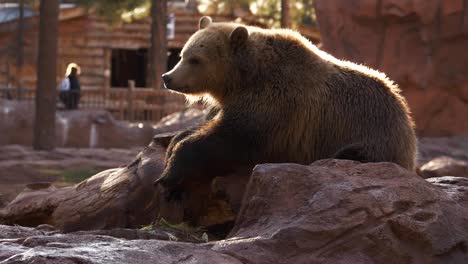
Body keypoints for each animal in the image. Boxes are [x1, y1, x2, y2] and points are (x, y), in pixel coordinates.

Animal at [155, 16, 418, 190]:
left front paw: (170, 172)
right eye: (182, 55)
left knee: (351, 155)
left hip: (372, 136)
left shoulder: (275, 103)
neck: (242, 78)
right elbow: (209, 127)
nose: (167, 77)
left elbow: (231, 139)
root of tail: (404, 110)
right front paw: (173, 144)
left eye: (195, 59)